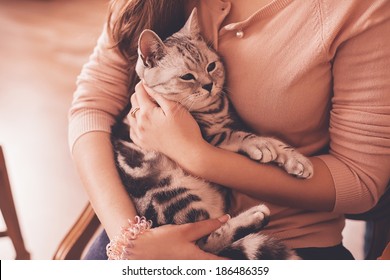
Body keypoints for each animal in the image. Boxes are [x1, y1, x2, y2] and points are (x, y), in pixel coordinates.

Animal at [111, 7, 312, 260]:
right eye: (187, 76)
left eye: (211, 67)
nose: (209, 85)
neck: (213, 110)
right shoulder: (208, 138)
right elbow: (242, 136)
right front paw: (261, 145)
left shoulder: (233, 121)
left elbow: (271, 139)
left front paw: (295, 159)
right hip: (175, 194)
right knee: (205, 243)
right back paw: (254, 215)